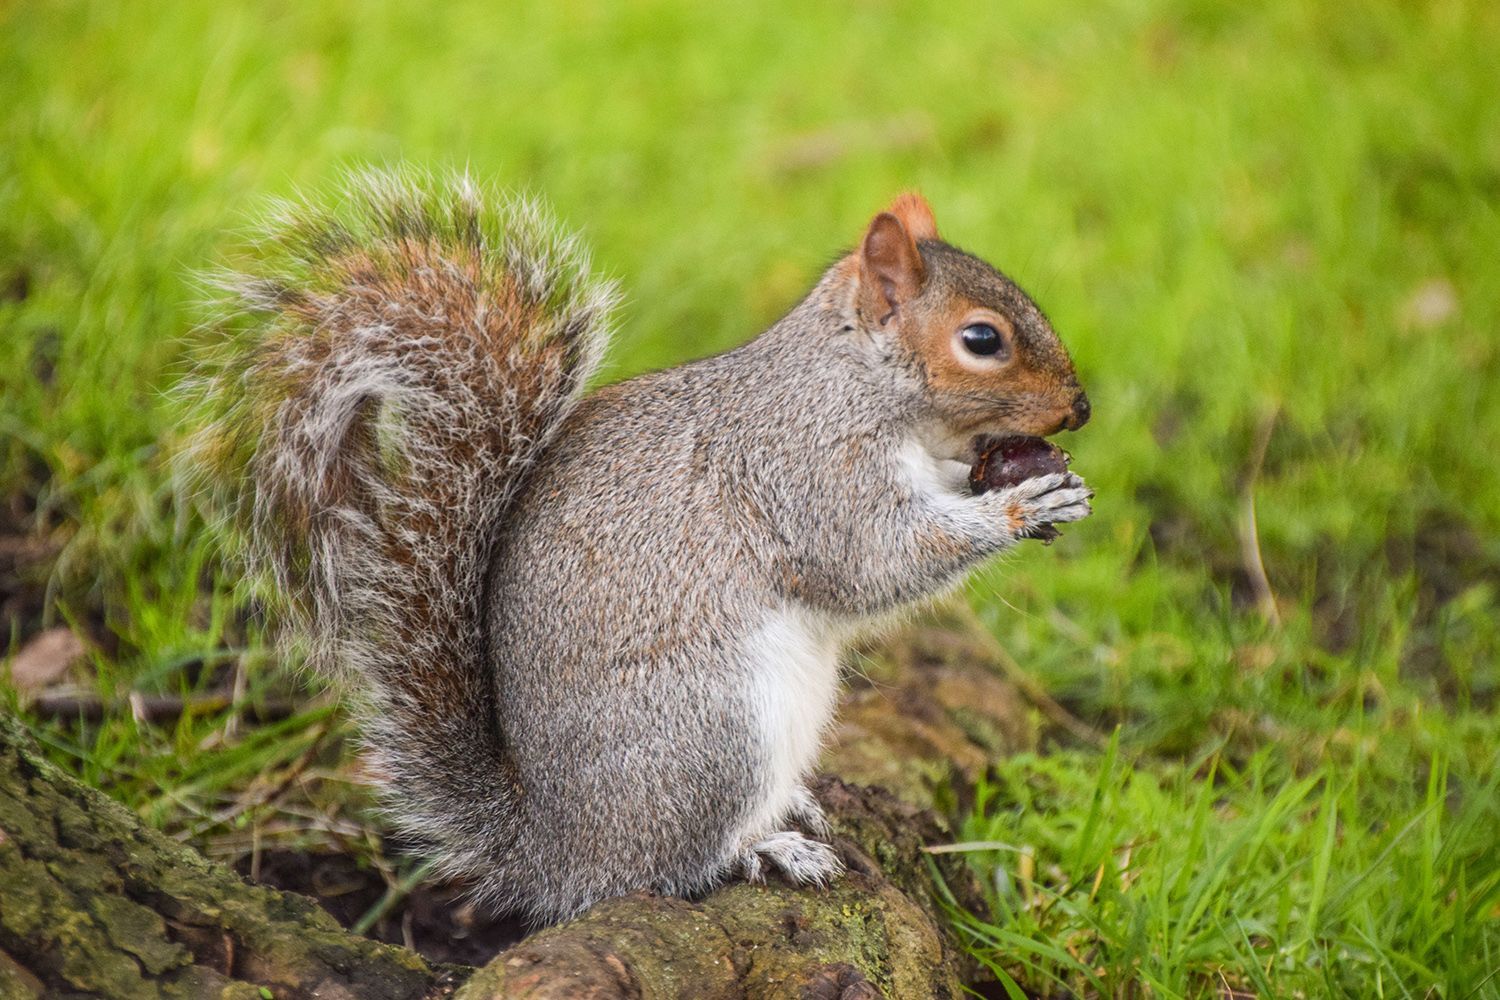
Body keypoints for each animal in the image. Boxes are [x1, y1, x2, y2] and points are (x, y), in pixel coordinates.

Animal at [188, 169, 1093, 925]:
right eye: (983, 340)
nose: (1081, 408)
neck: (856, 382)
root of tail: (555, 853)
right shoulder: (806, 467)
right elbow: (871, 564)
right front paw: (1020, 506)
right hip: (715, 729)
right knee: (666, 869)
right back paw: (765, 847)